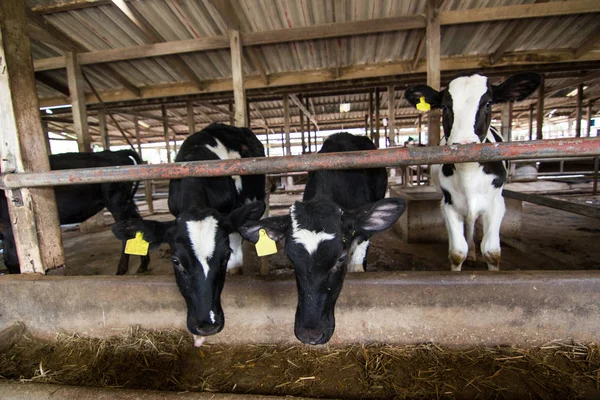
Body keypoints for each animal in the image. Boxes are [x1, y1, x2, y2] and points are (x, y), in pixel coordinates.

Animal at [1, 150, 147, 276]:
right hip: (125, 203)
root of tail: (114, 152)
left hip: (116, 203)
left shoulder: (8, 227)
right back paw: (142, 266)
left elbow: (11, 260)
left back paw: (122, 269)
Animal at [406, 72, 540, 272]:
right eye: (445, 106)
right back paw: (471, 254)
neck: (468, 174)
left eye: (488, 103)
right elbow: (456, 252)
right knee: (468, 223)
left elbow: (492, 252)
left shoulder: (496, 204)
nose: (464, 144)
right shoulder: (449, 203)